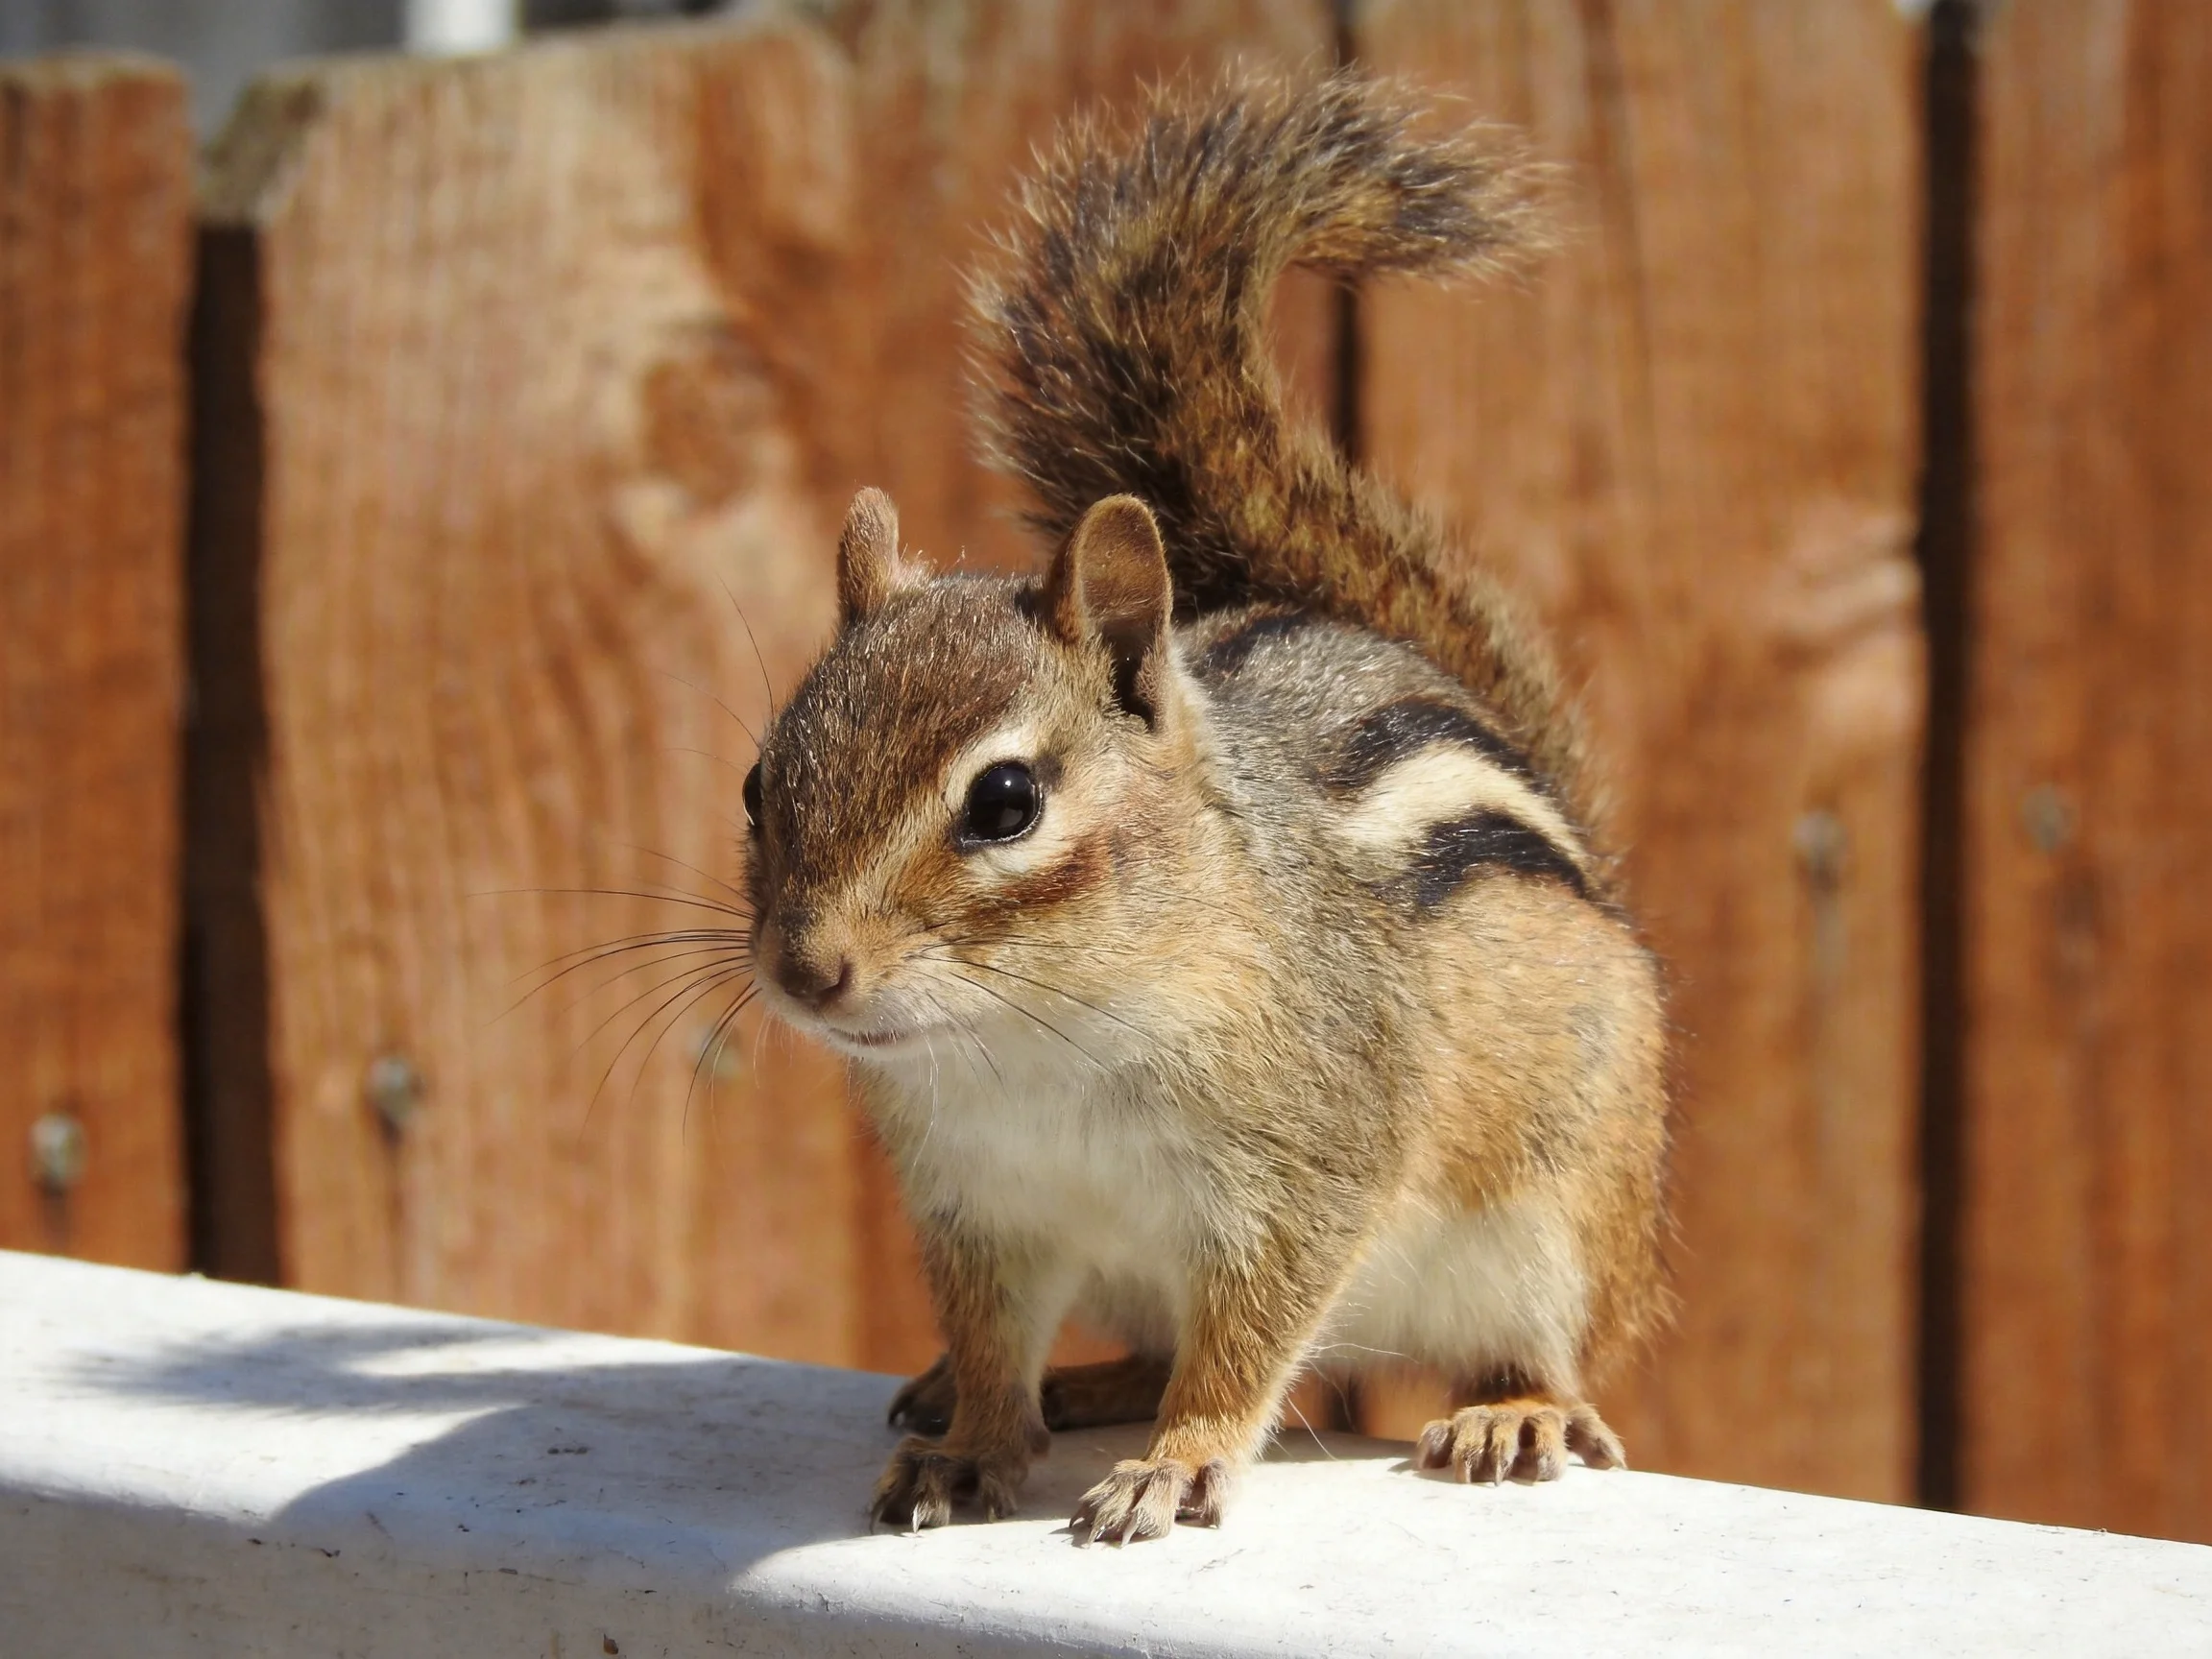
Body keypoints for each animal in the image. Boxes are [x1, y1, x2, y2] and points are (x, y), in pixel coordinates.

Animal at [740, 68, 1671, 1544]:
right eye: (759, 782)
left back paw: (1511, 1411)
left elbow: (1251, 1335)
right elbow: (996, 1339)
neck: (1036, 1038)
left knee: (1549, 1350)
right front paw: (977, 1437)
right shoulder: (978, 1204)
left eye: (1006, 802)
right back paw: (1081, 1384)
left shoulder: (1309, 1161)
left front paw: (1181, 1460)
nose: (805, 971)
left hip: (1566, 1210)